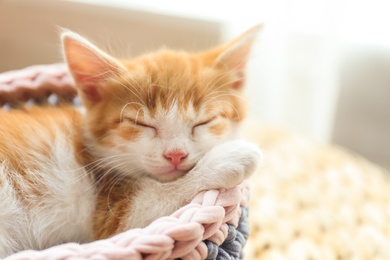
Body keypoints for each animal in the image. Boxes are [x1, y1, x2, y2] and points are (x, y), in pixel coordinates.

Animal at [0, 25, 262, 256]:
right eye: (142, 124)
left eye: (203, 121)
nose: (175, 155)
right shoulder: (111, 215)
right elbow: (155, 205)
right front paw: (229, 158)